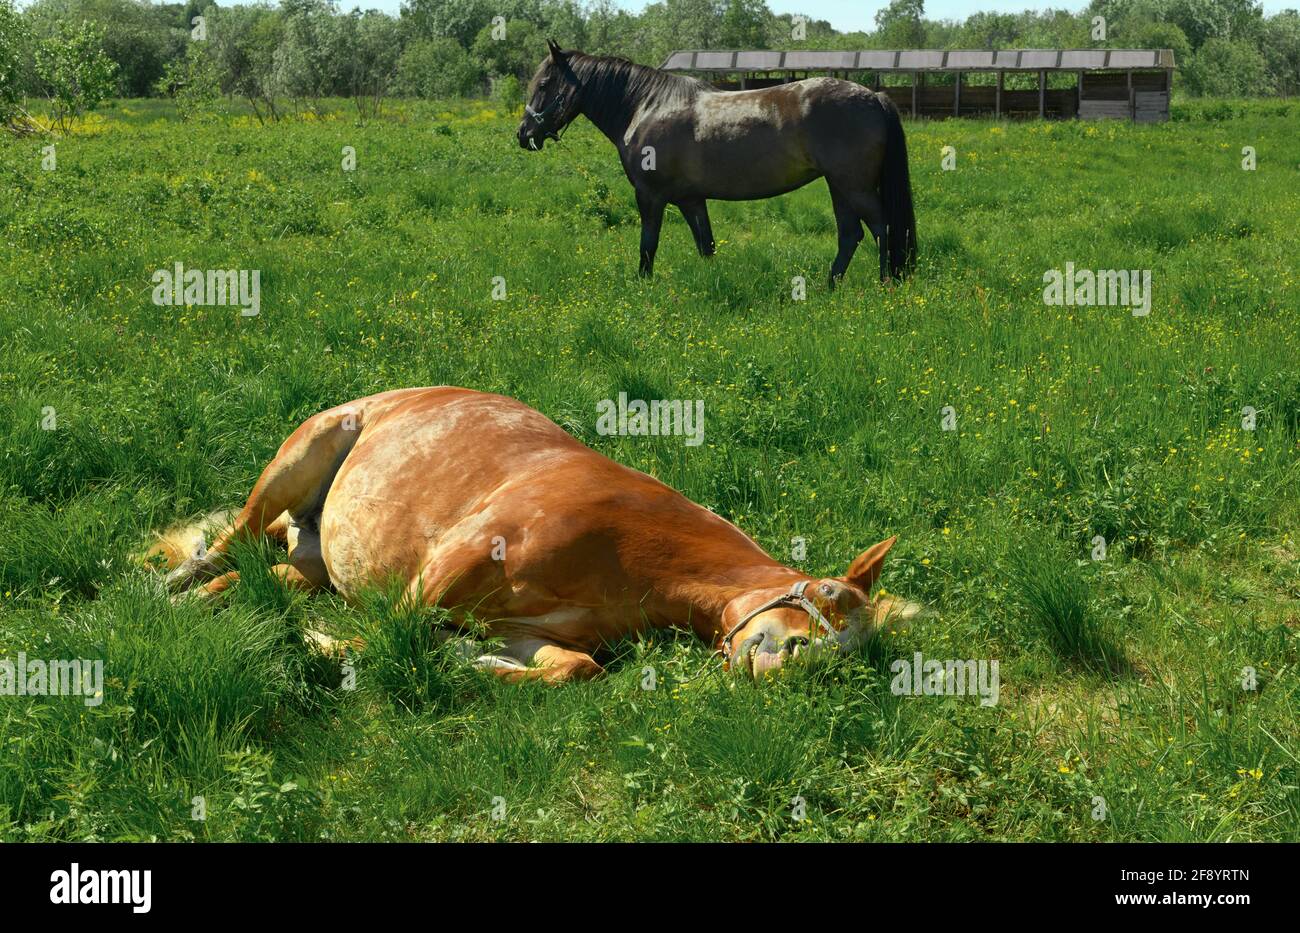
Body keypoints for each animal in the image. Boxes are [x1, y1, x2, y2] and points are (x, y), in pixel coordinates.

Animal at [154, 387, 920, 682]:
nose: (796, 662)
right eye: (827, 594)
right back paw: (170, 587)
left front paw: (471, 661)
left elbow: (571, 668)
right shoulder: (450, 565)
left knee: (256, 575)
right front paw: (319, 646)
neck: (630, 546)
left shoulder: (528, 628)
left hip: (310, 561)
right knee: (226, 543)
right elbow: (385, 637)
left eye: (852, 656)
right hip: (299, 458)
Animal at [517, 40, 917, 288]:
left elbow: (648, 245)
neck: (646, 106)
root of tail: (874, 97)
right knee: (851, 235)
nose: (523, 134)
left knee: (881, 227)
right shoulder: (691, 200)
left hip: (854, 186)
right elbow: (705, 245)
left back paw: (883, 283)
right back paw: (828, 287)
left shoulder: (650, 196)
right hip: (839, 187)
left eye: (545, 83)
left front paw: (643, 287)